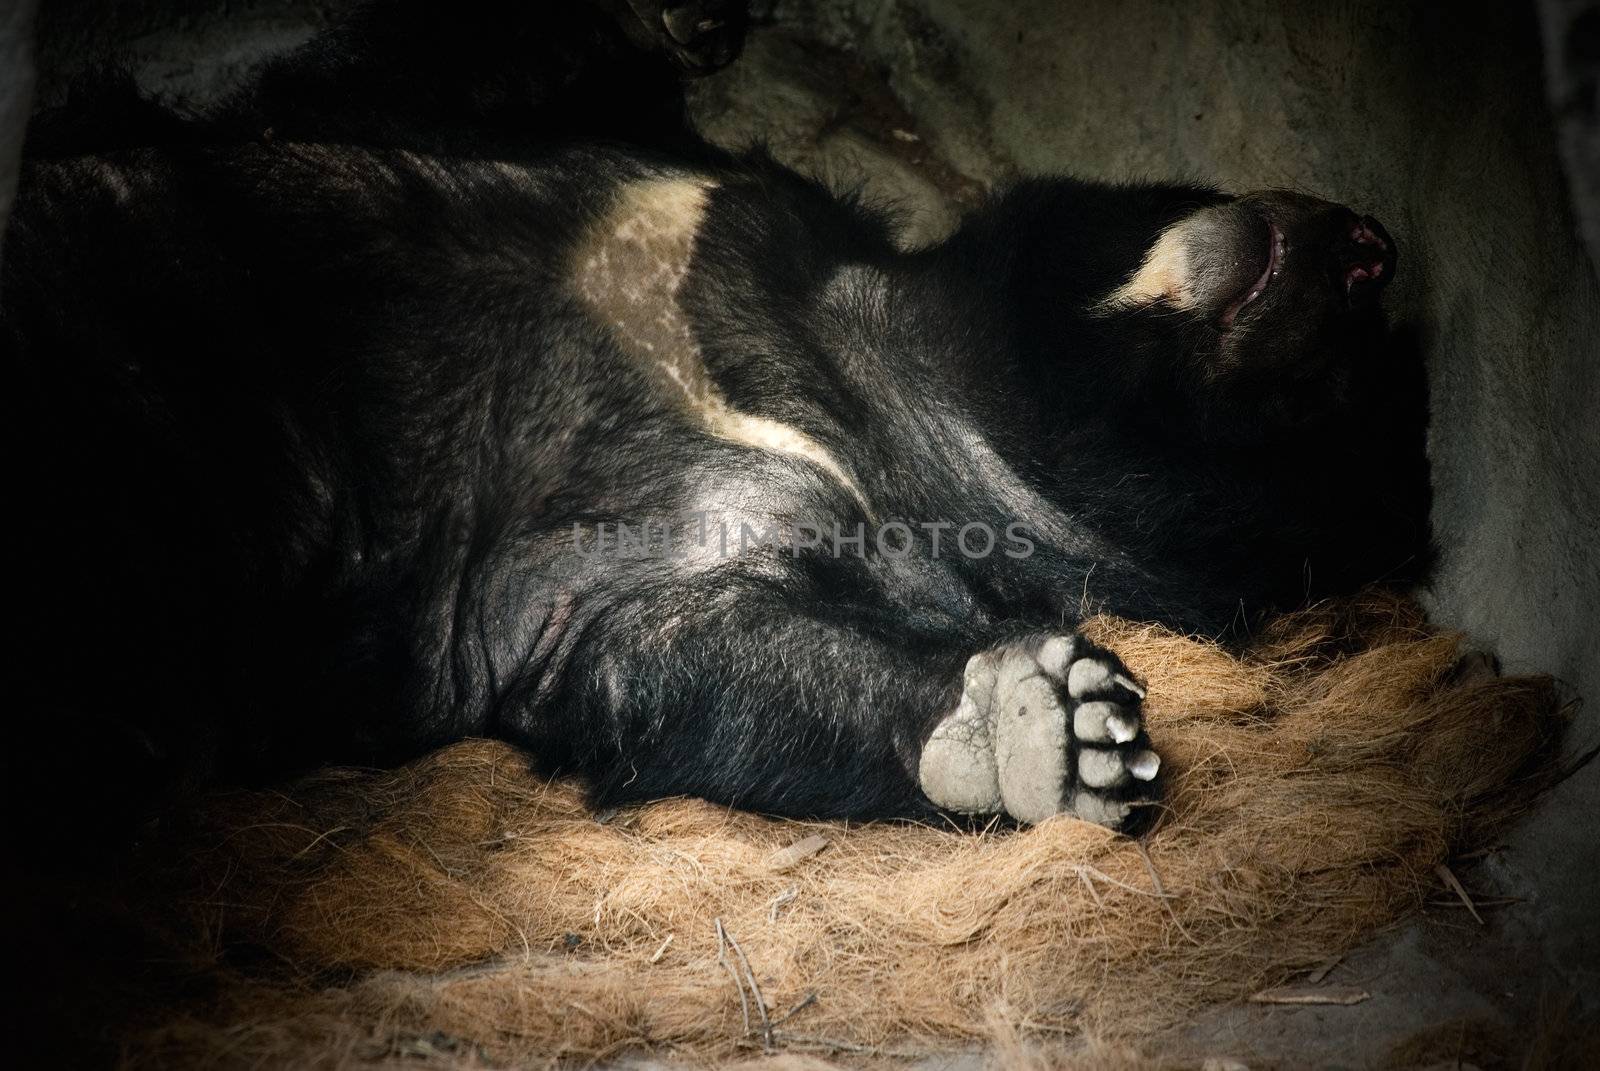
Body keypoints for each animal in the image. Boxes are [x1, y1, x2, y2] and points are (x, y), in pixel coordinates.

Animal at [0, 0, 1427, 832]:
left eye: (1337, 406)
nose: (1368, 247)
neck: (859, 376)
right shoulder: (673, 184)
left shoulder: (727, 529)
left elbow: (663, 649)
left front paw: (1050, 730)